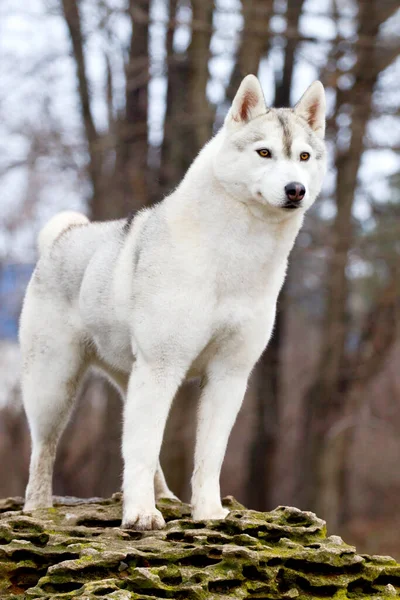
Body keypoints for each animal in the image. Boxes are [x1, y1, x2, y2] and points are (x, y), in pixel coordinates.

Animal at [18, 74, 326, 528]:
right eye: (264, 152)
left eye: (303, 156)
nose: (295, 190)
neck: (234, 255)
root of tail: (64, 237)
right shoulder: (162, 365)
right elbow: (144, 448)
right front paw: (141, 516)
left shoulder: (229, 375)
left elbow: (208, 456)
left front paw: (208, 513)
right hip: (55, 387)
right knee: (44, 449)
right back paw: (39, 508)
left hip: (131, 380)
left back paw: (165, 497)